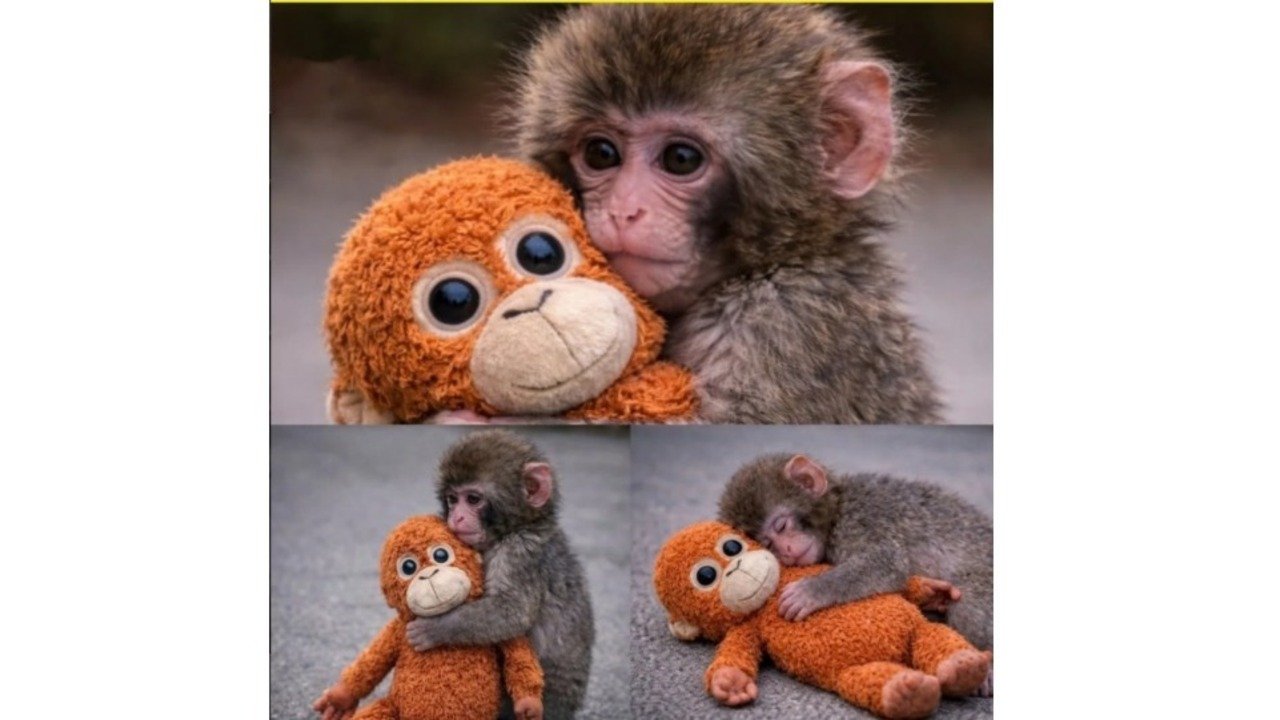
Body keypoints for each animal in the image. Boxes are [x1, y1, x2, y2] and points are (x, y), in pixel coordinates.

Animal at [404, 430, 594, 718]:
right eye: (452, 499)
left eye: (473, 499)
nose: (457, 518)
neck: (512, 530)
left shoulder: (519, 553)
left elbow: (511, 612)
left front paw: (434, 629)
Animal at [717, 453, 992, 662]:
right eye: (769, 545)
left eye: (782, 526)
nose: (786, 550)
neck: (837, 510)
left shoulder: (859, 519)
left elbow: (888, 561)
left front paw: (812, 590)